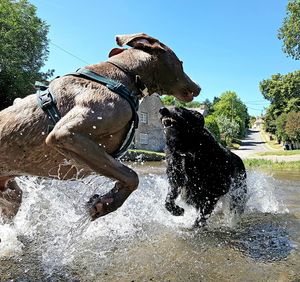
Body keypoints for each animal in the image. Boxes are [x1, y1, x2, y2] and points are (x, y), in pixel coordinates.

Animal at [0, 33, 202, 223]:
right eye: (181, 63)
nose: (199, 87)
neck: (125, 75)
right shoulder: (66, 134)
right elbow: (132, 176)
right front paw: (106, 204)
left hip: (11, 195)